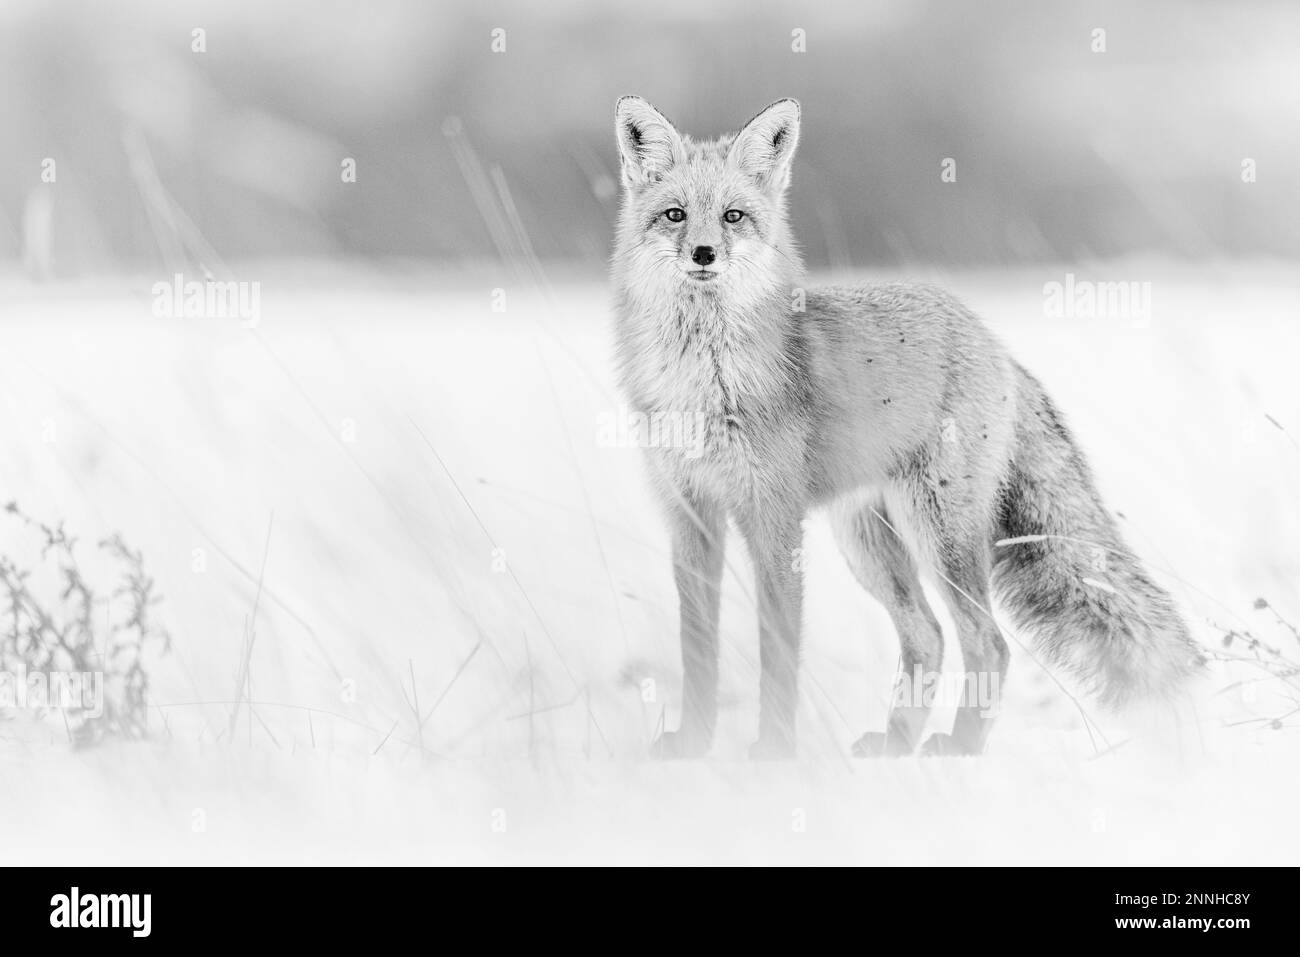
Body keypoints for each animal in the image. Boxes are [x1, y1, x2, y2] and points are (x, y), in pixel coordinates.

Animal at [613, 95, 1201, 754]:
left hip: (937, 533)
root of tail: (994, 342)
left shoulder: (774, 520)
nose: (704, 254)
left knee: (987, 641)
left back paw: (960, 747)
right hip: (868, 544)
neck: (704, 384)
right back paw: (897, 741)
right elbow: (698, 652)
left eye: (733, 216)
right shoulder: (689, 513)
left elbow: (778, 655)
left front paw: (773, 753)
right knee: (928, 635)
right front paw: (692, 746)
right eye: (675, 215)